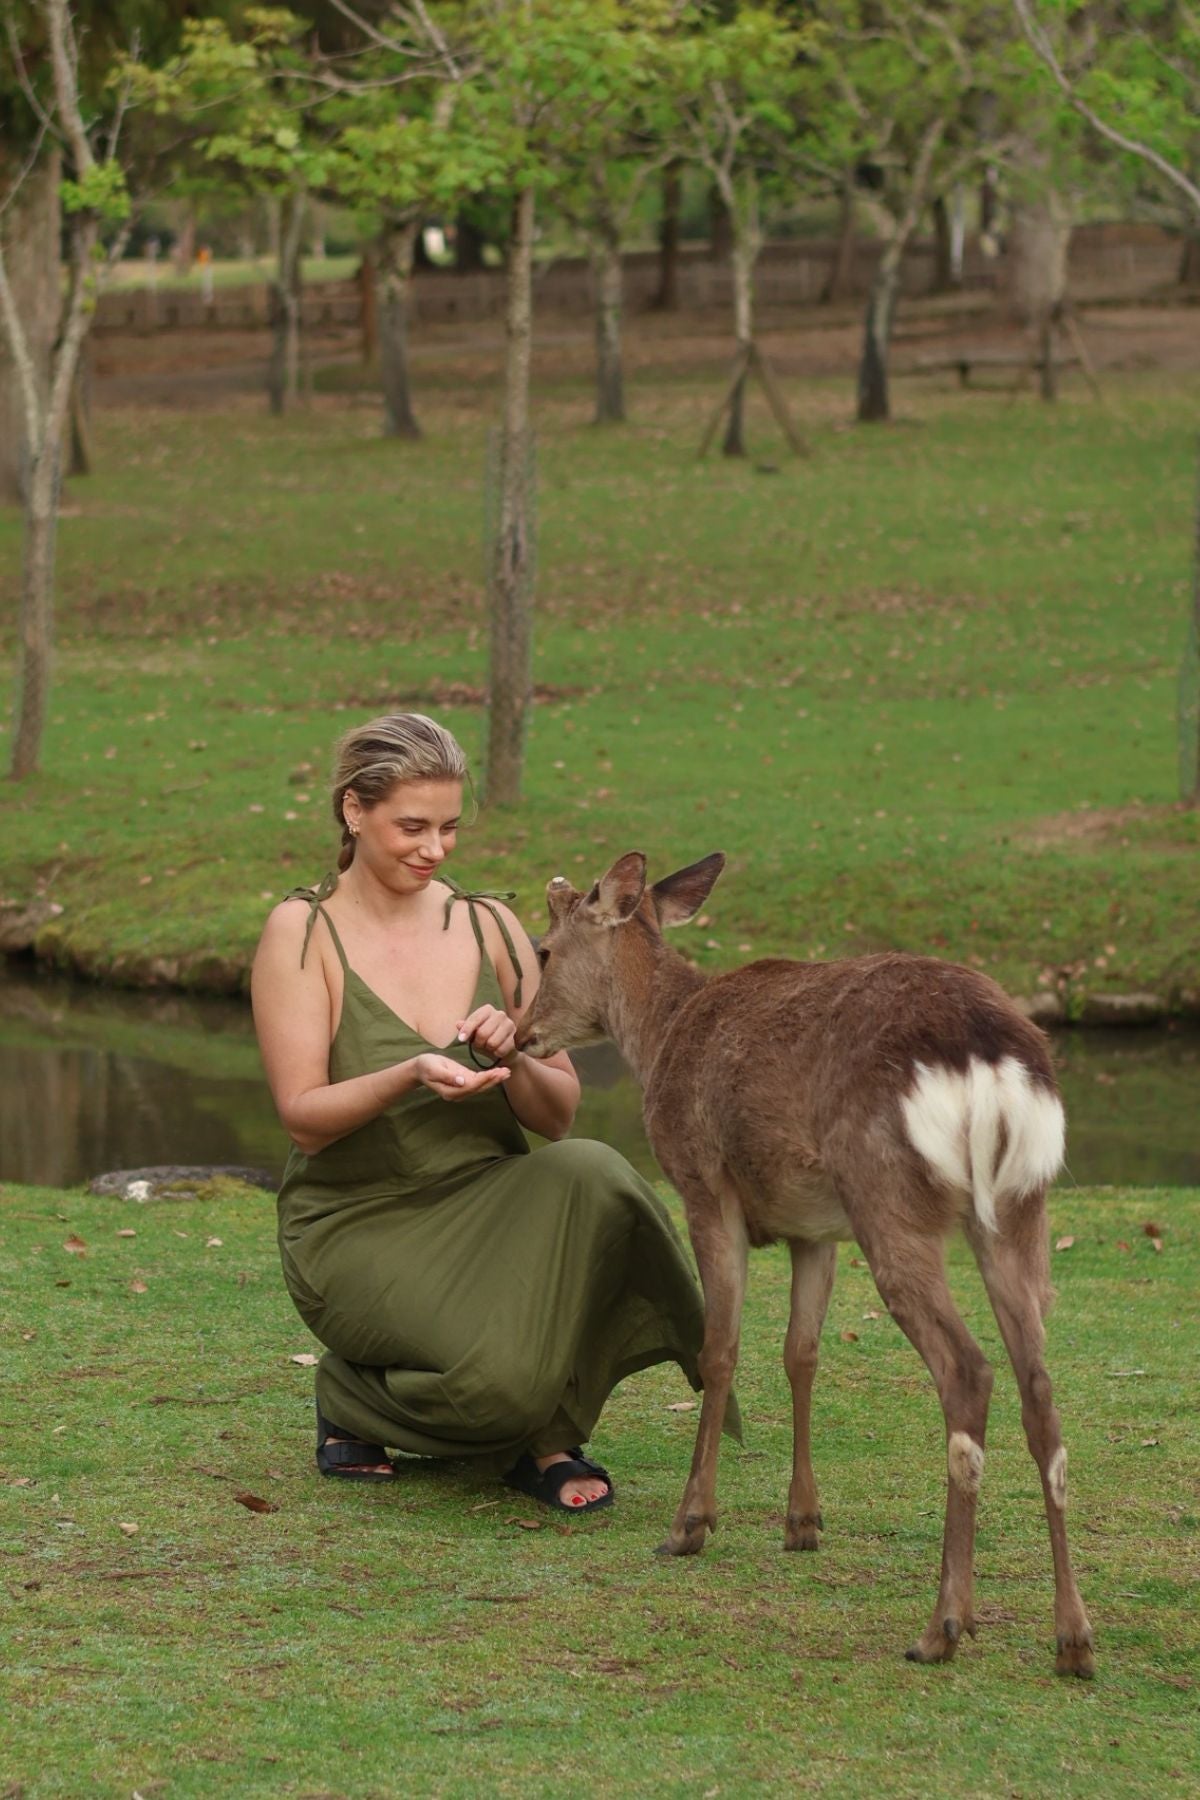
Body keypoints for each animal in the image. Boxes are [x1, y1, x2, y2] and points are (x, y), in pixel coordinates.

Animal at [515, 850, 1095, 1678]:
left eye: (541, 950)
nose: (521, 1034)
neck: (660, 1036)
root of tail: (990, 1060)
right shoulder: (814, 1227)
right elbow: (802, 1352)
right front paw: (802, 1521)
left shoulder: (704, 1184)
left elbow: (719, 1349)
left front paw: (690, 1524)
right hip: (1020, 1206)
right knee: (1040, 1385)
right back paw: (1072, 1637)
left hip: (888, 1196)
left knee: (968, 1370)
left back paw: (942, 1626)